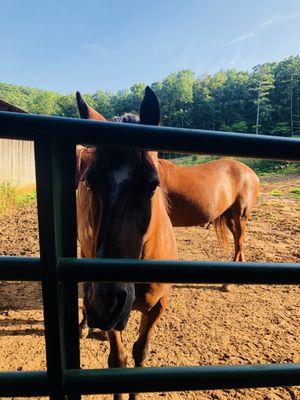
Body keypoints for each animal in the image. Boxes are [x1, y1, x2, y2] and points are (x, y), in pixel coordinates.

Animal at [75, 91, 260, 278]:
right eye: (89, 182)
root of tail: (250, 172)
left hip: (241, 215)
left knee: (240, 241)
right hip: (230, 214)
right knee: (237, 240)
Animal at [76, 87, 177, 400]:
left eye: (152, 185)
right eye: (89, 182)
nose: (104, 302)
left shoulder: (159, 305)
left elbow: (140, 353)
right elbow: (118, 361)